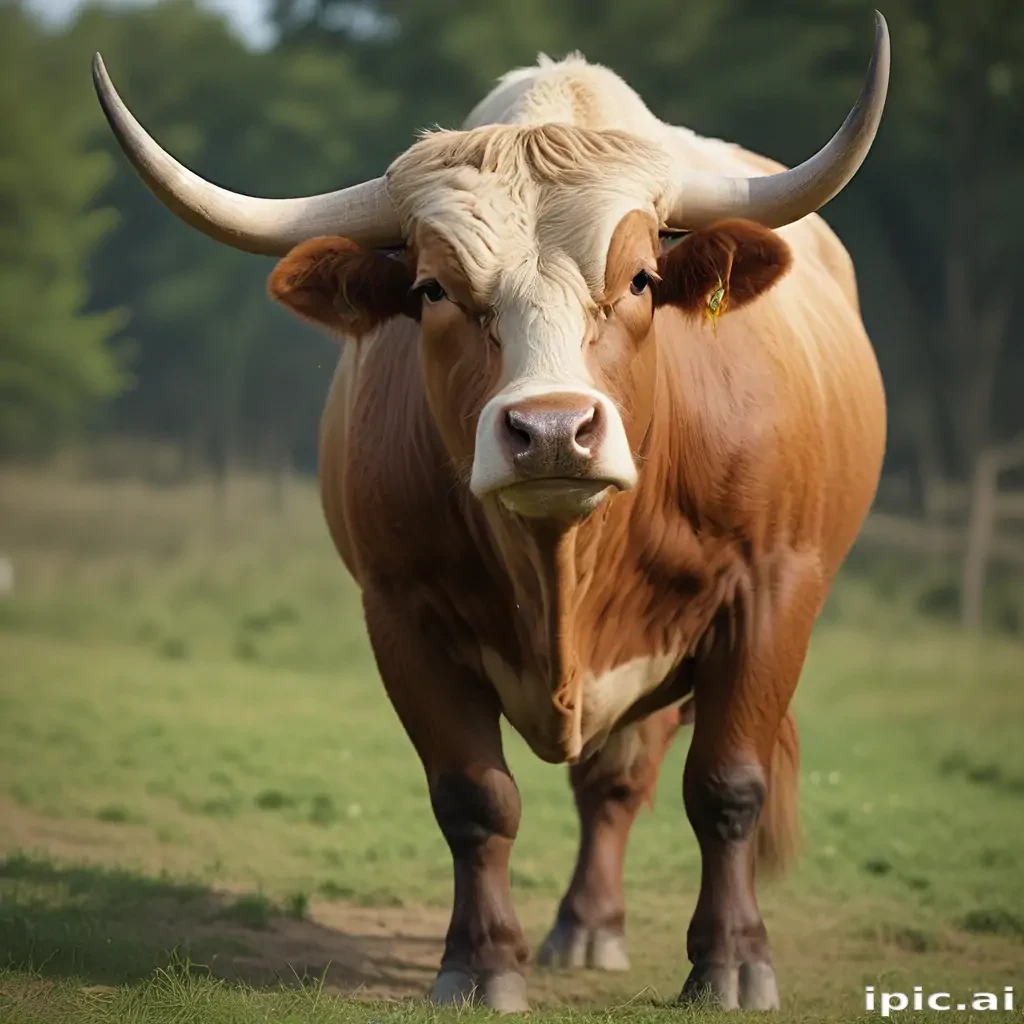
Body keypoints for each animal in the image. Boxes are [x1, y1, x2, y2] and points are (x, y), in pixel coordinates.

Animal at [93, 13, 889, 1012]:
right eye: (434, 289)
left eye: (639, 279)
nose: (551, 430)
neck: (560, 564)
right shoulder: (400, 613)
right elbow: (474, 799)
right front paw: (481, 965)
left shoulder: (772, 594)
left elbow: (727, 786)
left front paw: (734, 964)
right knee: (608, 783)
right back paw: (586, 927)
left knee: (625, 779)